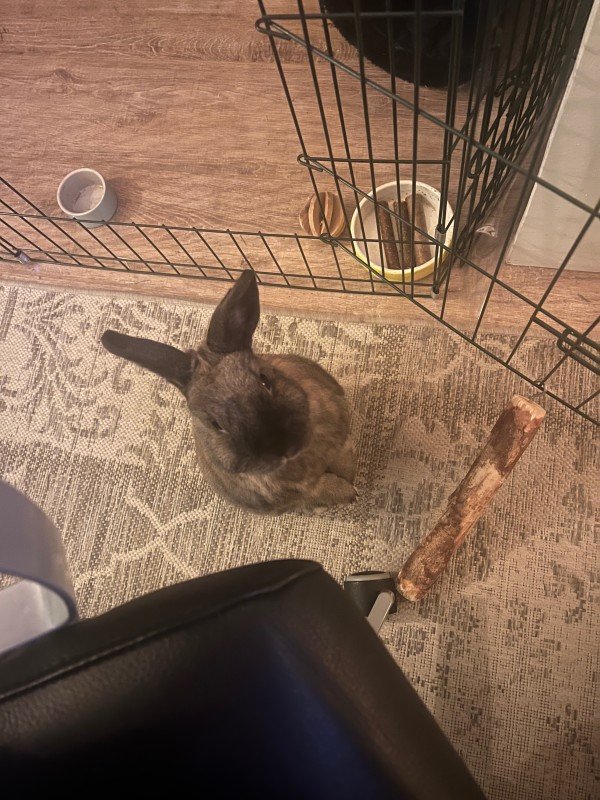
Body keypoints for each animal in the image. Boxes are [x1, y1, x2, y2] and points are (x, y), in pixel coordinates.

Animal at [101, 270, 357, 514]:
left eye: (264, 380)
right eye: (216, 425)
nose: (283, 448)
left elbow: (343, 454)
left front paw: (351, 478)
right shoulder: (303, 489)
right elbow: (323, 488)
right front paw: (350, 493)